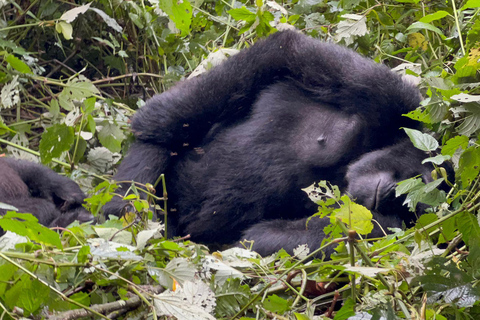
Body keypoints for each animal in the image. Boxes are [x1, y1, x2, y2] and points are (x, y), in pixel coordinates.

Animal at [103, 29, 434, 255]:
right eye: (415, 178)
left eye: (411, 210)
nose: (391, 194)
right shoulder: (397, 100)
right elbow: (285, 51)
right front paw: (156, 119)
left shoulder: (388, 229)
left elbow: (259, 239)